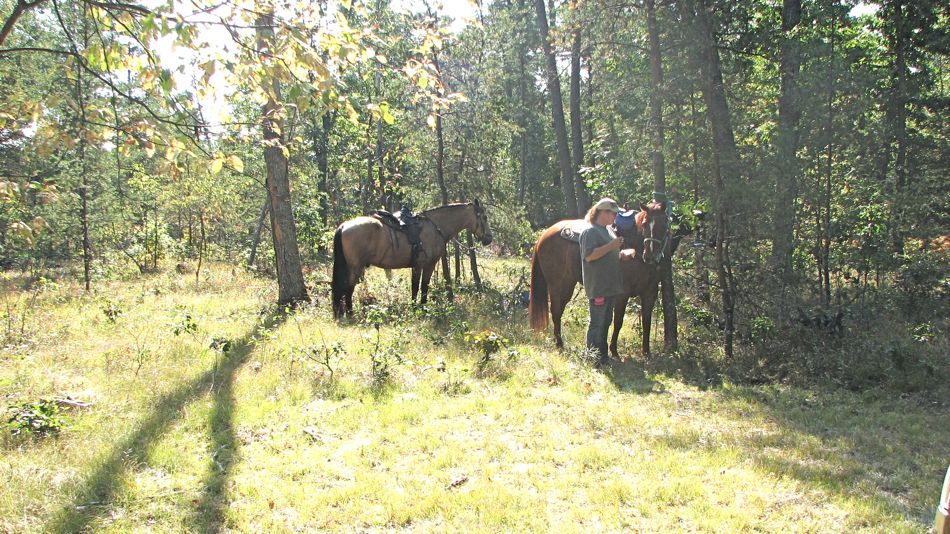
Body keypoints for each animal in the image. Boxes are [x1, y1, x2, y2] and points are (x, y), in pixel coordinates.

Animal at [332, 201, 494, 318]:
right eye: (484, 217)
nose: (489, 239)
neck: (435, 227)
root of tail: (344, 226)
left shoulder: (417, 266)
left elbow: (415, 287)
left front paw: (415, 307)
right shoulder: (427, 265)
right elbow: (423, 287)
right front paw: (422, 309)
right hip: (355, 267)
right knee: (348, 289)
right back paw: (350, 314)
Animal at [528, 203, 676, 358]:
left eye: (664, 224)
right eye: (645, 224)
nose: (650, 256)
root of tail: (544, 235)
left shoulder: (650, 293)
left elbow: (647, 322)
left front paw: (646, 352)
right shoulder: (622, 294)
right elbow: (618, 321)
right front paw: (614, 351)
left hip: (567, 285)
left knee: (559, 310)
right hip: (557, 285)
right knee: (556, 310)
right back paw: (560, 344)